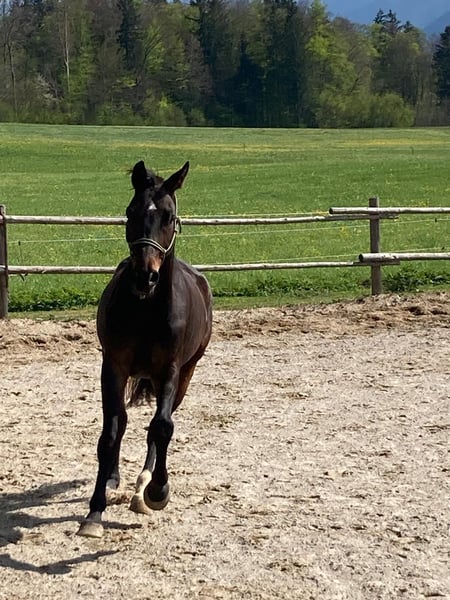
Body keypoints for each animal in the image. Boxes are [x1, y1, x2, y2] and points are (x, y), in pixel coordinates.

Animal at [78, 160, 213, 538]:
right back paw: (115, 479)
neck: (147, 309)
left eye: (169, 216)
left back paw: (144, 485)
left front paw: (157, 491)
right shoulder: (113, 366)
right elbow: (111, 431)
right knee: (122, 423)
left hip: (186, 374)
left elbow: (162, 427)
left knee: (160, 427)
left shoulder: (170, 370)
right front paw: (94, 512)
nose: (144, 276)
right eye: (131, 211)